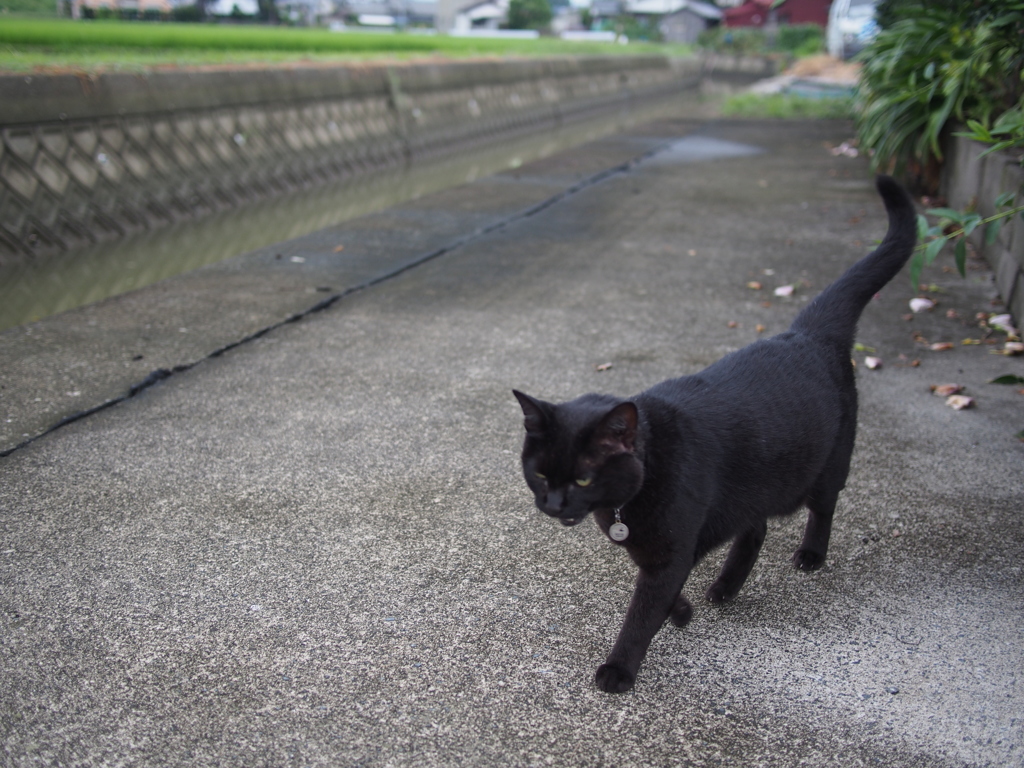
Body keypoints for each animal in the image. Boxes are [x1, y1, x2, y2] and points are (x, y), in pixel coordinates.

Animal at [516, 177, 917, 696]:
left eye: (583, 479)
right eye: (541, 475)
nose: (553, 505)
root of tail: (807, 333)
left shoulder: (669, 551)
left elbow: (642, 613)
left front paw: (619, 669)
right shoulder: (663, 550)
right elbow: (663, 593)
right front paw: (682, 612)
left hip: (830, 464)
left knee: (822, 507)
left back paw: (809, 555)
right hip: (757, 482)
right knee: (755, 528)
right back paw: (726, 587)